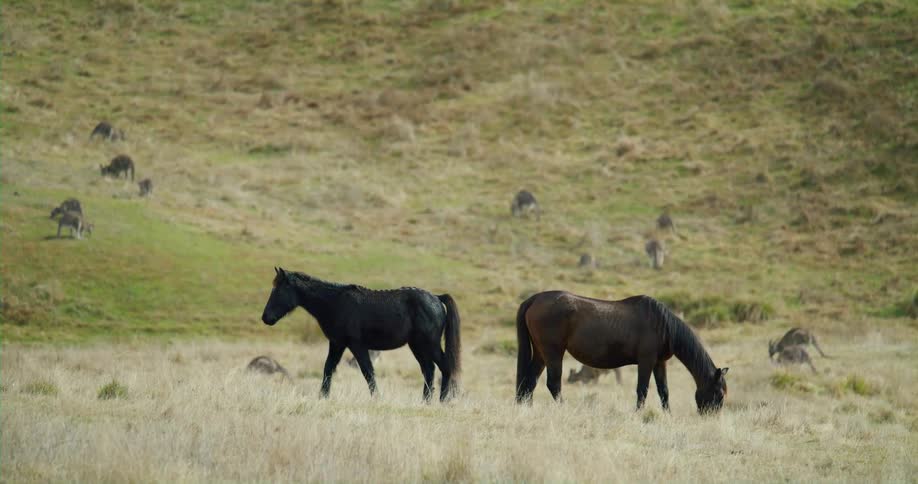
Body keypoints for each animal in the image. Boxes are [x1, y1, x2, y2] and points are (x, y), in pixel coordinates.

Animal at [260, 268, 461, 402]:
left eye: (278, 290)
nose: (265, 317)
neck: (334, 302)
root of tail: (436, 298)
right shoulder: (337, 343)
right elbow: (328, 368)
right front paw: (323, 397)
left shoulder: (356, 345)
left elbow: (368, 372)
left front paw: (377, 399)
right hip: (417, 346)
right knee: (429, 370)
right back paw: (425, 401)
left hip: (429, 345)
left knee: (444, 367)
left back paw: (442, 401)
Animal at [515, 291, 729, 413]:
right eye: (719, 394)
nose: (710, 417)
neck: (663, 325)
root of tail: (534, 299)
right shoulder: (646, 361)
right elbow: (642, 389)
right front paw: (638, 414)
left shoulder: (660, 363)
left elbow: (664, 391)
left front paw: (667, 415)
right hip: (553, 352)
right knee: (553, 383)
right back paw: (563, 409)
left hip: (541, 354)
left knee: (529, 381)